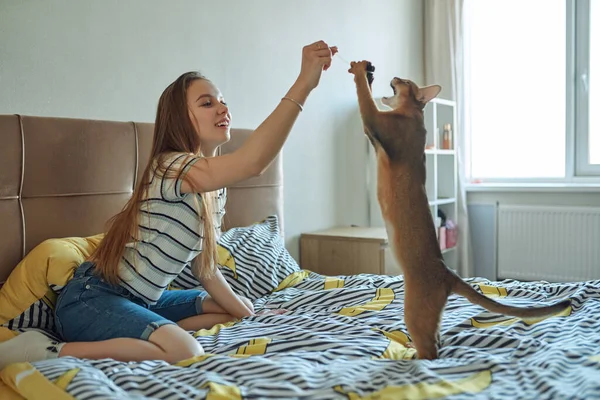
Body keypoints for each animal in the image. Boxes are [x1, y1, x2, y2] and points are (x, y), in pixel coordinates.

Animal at [346, 60, 572, 362]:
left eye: (404, 80)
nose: (392, 75)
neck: (414, 116)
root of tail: (448, 272)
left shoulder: (376, 124)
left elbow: (365, 100)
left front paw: (361, 72)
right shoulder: (374, 136)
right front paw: (368, 75)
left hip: (413, 311)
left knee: (431, 350)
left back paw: (410, 357)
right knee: (438, 341)